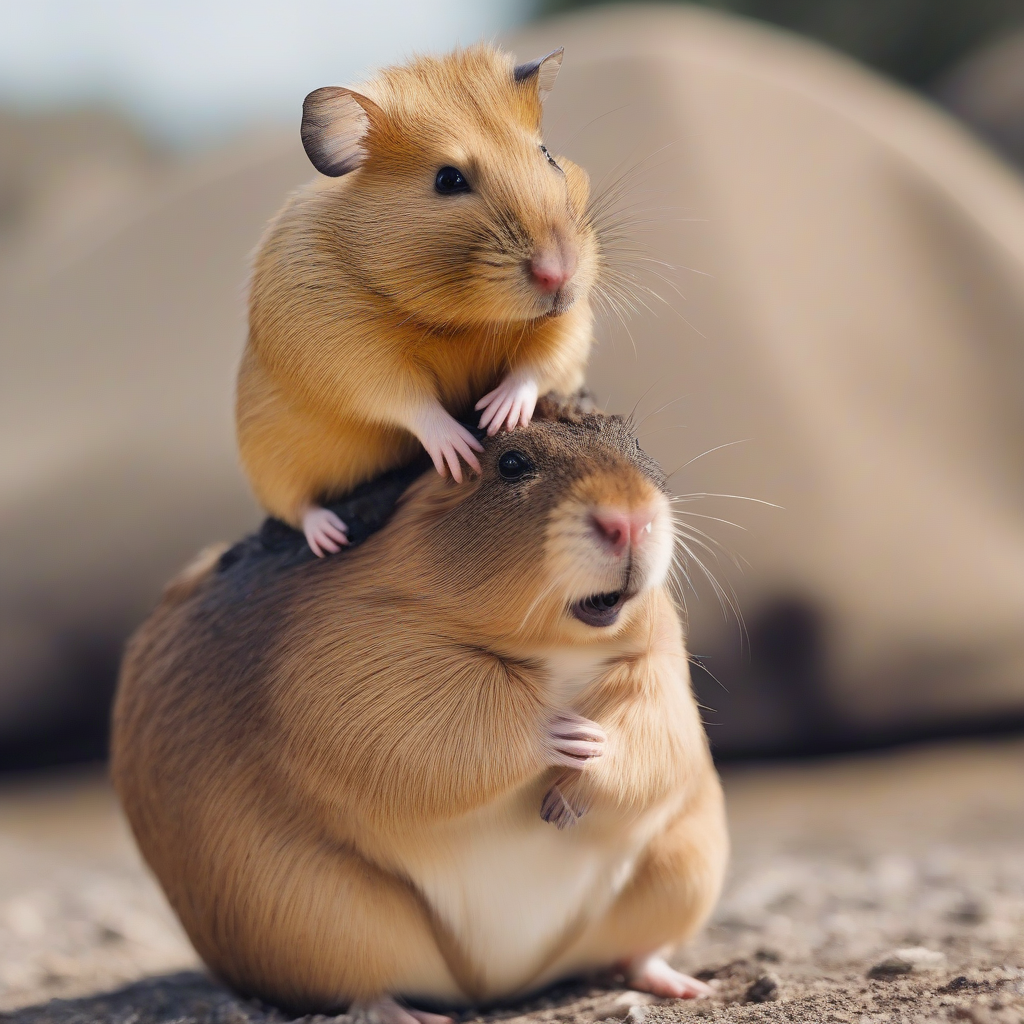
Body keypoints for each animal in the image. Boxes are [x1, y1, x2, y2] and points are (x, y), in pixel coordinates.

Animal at [112, 395, 729, 1019]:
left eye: (634, 443)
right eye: (511, 463)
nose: (629, 520)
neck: (558, 648)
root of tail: (502, 985)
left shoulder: (660, 668)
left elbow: (654, 736)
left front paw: (580, 766)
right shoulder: (351, 656)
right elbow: (452, 716)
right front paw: (566, 733)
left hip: (681, 867)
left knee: (637, 952)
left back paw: (687, 985)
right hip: (321, 916)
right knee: (363, 989)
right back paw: (415, 1013)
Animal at [235, 46, 598, 561]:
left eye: (547, 156)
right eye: (448, 179)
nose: (560, 273)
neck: (462, 320)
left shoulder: (570, 322)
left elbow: (537, 365)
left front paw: (496, 414)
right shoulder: (350, 356)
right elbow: (411, 403)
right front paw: (463, 452)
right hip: (268, 463)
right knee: (296, 506)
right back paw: (329, 535)